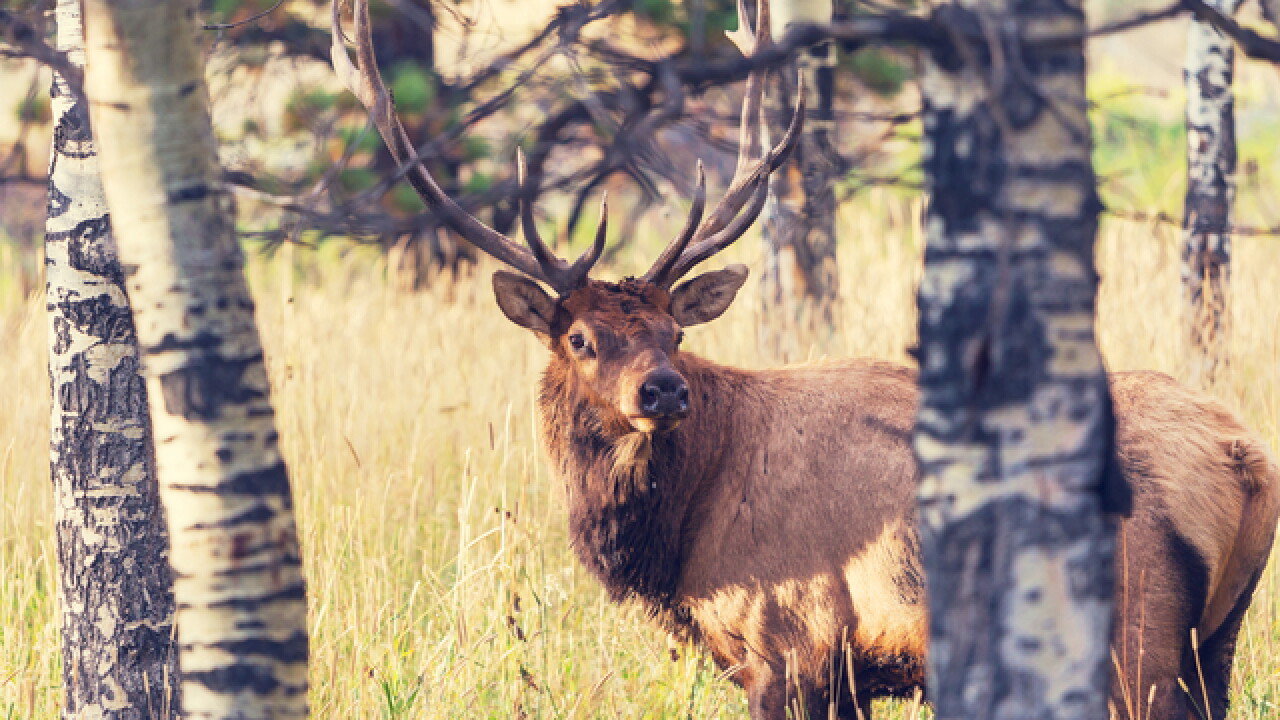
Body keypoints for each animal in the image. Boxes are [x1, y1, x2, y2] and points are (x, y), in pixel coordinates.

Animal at [331, 0, 1280, 717]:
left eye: (675, 333)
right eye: (581, 338)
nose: (663, 391)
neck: (681, 539)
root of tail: (1246, 460)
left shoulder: (788, 643)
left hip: (1134, 640)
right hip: (1215, 643)